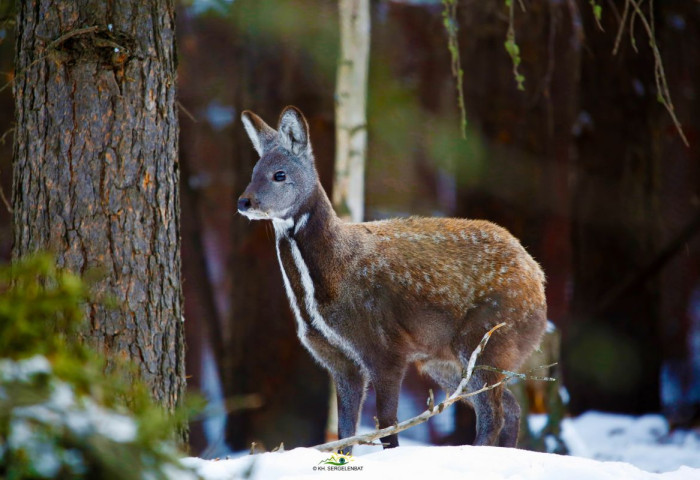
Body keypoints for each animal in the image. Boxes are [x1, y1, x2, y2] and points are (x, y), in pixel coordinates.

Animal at [238, 105, 548, 450]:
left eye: (279, 174)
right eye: (254, 171)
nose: (244, 202)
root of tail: (537, 275)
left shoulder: (385, 346)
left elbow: (387, 425)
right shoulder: (338, 361)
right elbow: (345, 432)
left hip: (488, 336)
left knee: (493, 412)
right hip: (443, 360)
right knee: (511, 406)